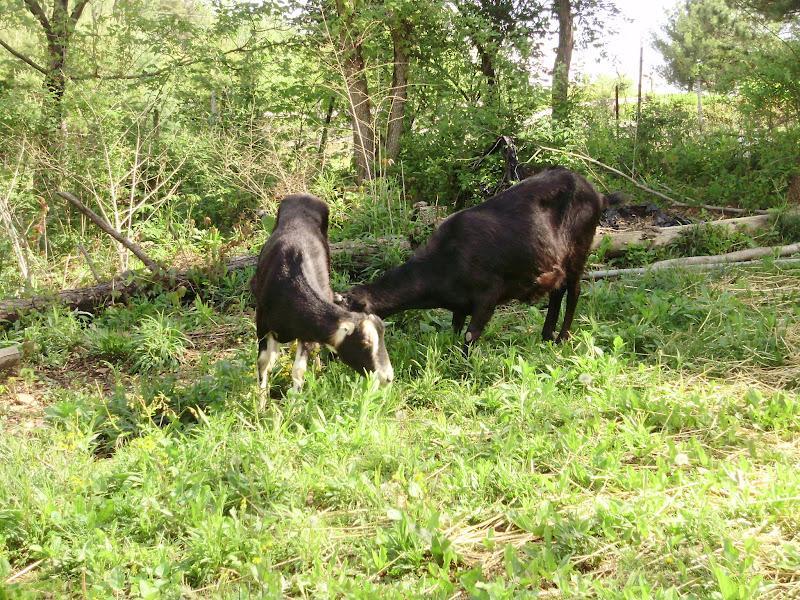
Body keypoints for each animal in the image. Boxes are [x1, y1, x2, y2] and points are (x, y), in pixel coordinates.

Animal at [250, 195, 394, 392]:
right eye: (365, 343)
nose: (388, 378)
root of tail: (303, 196)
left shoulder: (307, 332)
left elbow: (298, 370)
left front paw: (295, 398)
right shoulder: (263, 324)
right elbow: (264, 362)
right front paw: (261, 398)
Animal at [338, 166, 620, 350]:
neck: (444, 263)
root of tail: (598, 194)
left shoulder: (488, 295)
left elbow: (469, 336)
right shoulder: (460, 305)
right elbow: (455, 330)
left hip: (579, 250)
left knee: (574, 291)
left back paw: (562, 337)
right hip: (555, 262)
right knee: (557, 290)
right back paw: (546, 334)